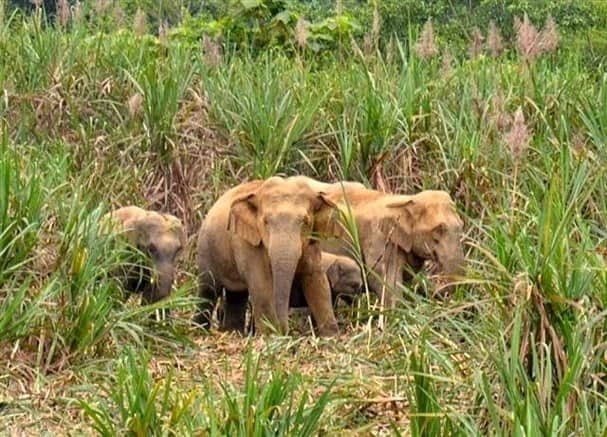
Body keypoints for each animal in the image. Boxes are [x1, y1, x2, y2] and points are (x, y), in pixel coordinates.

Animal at [192, 175, 340, 336]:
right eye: (265, 221)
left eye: (305, 221)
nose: (285, 331)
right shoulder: (247, 243)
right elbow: (261, 282)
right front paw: (271, 336)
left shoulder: (312, 241)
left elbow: (316, 280)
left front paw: (331, 336)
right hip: (206, 249)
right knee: (208, 290)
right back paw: (197, 330)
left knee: (236, 295)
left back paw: (233, 333)